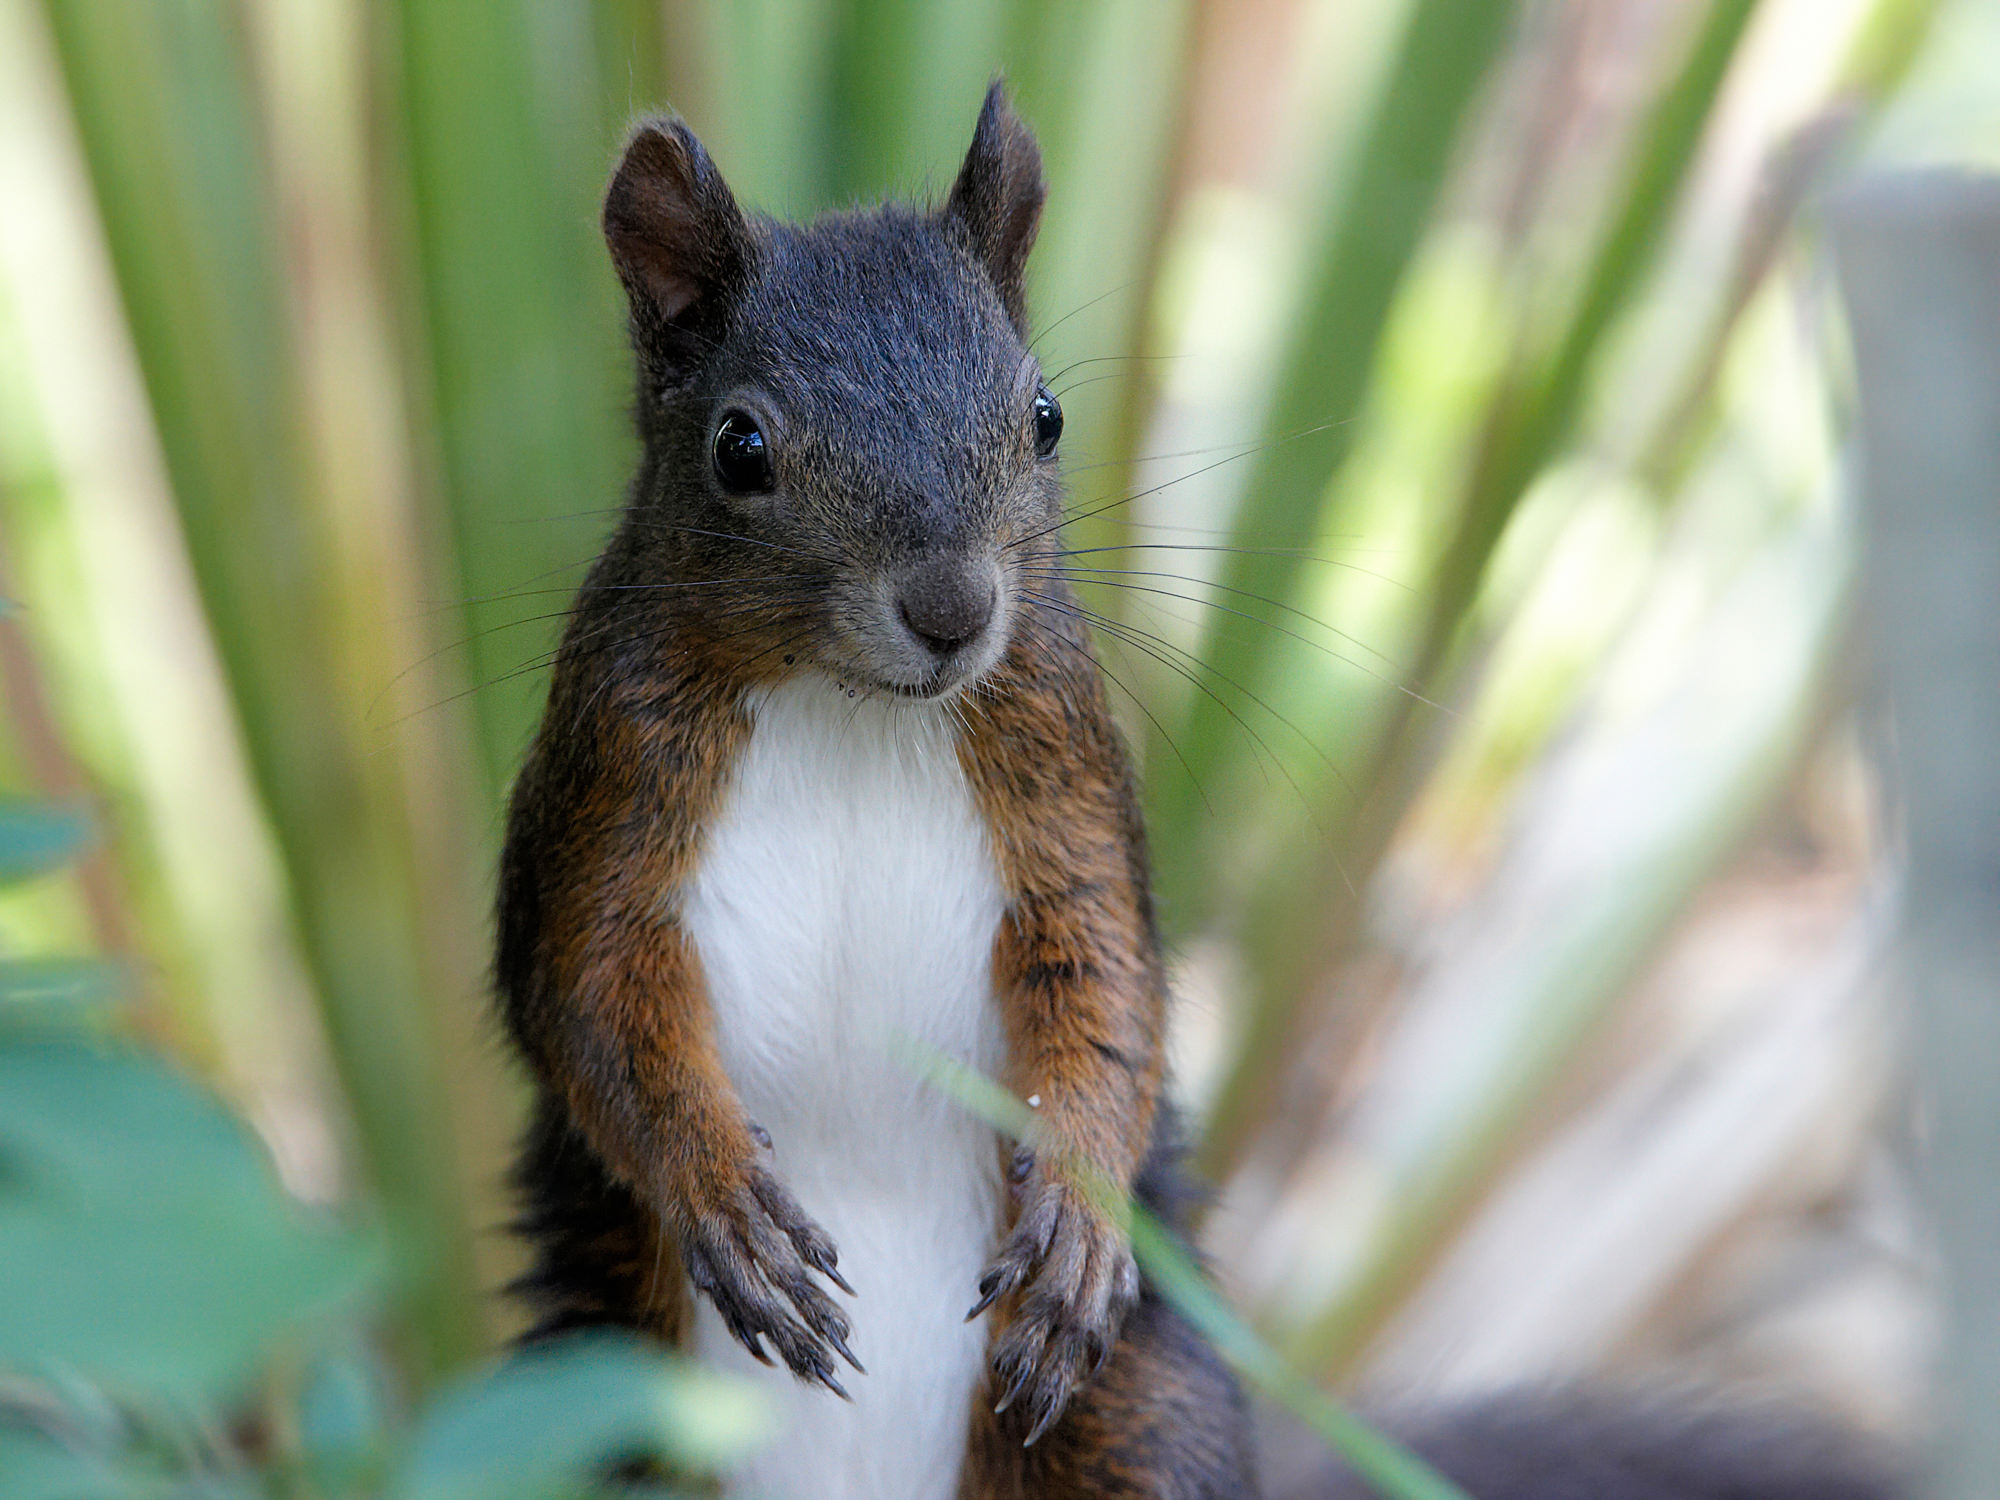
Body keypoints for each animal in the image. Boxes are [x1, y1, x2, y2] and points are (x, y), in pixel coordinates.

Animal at [495, 83, 1251, 1498]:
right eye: (738, 446)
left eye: (1045, 414)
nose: (953, 612)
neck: (852, 711)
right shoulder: (608, 775)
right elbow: (590, 998)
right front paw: (722, 1197)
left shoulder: (1061, 762)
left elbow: (1108, 979)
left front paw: (1079, 1220)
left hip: (1141, 1423)